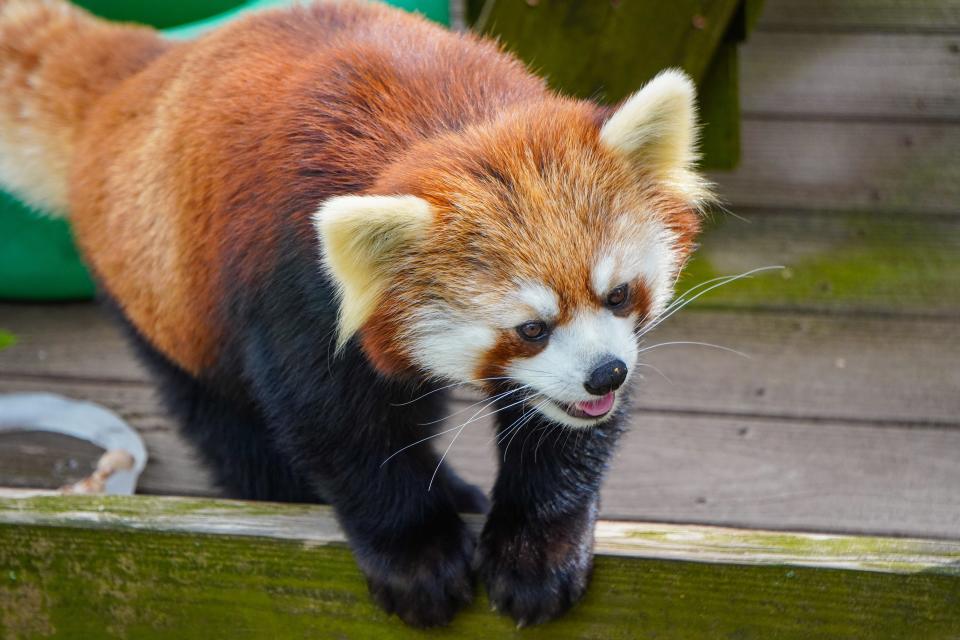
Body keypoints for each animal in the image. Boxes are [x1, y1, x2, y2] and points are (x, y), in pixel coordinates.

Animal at [0, 0, 704, 632]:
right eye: (530, 329)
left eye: (618, 294)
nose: (605, 374)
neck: (451, 121)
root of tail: (146, 70)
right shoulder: (294, 287)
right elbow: (338, 428)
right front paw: (417, 556)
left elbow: (560, 430)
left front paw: (536, 548)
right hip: (165, 299)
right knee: (227, 421)